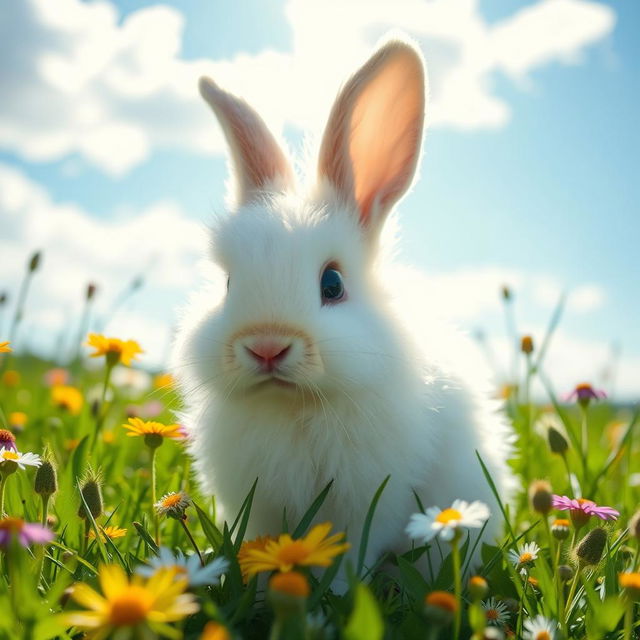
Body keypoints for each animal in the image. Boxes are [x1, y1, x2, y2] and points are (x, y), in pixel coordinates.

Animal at [170, 38, 510, 580]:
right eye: (227, 284)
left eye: (333, 284)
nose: (266, 347)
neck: (294, 405)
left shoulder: (369, 502)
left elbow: (350, 554)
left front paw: (336, 591)